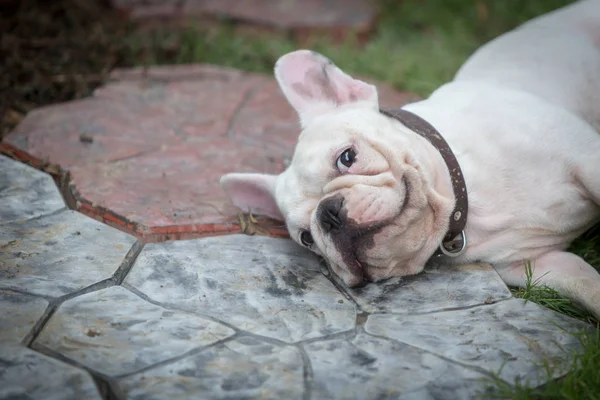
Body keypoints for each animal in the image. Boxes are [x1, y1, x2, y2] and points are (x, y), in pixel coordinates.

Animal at [221, 0, 600, 318]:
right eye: (306, 239)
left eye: (347, 157)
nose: (328, 213)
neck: (466, 201)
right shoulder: (538, 262)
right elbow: (588, 283)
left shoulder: (587, 158)